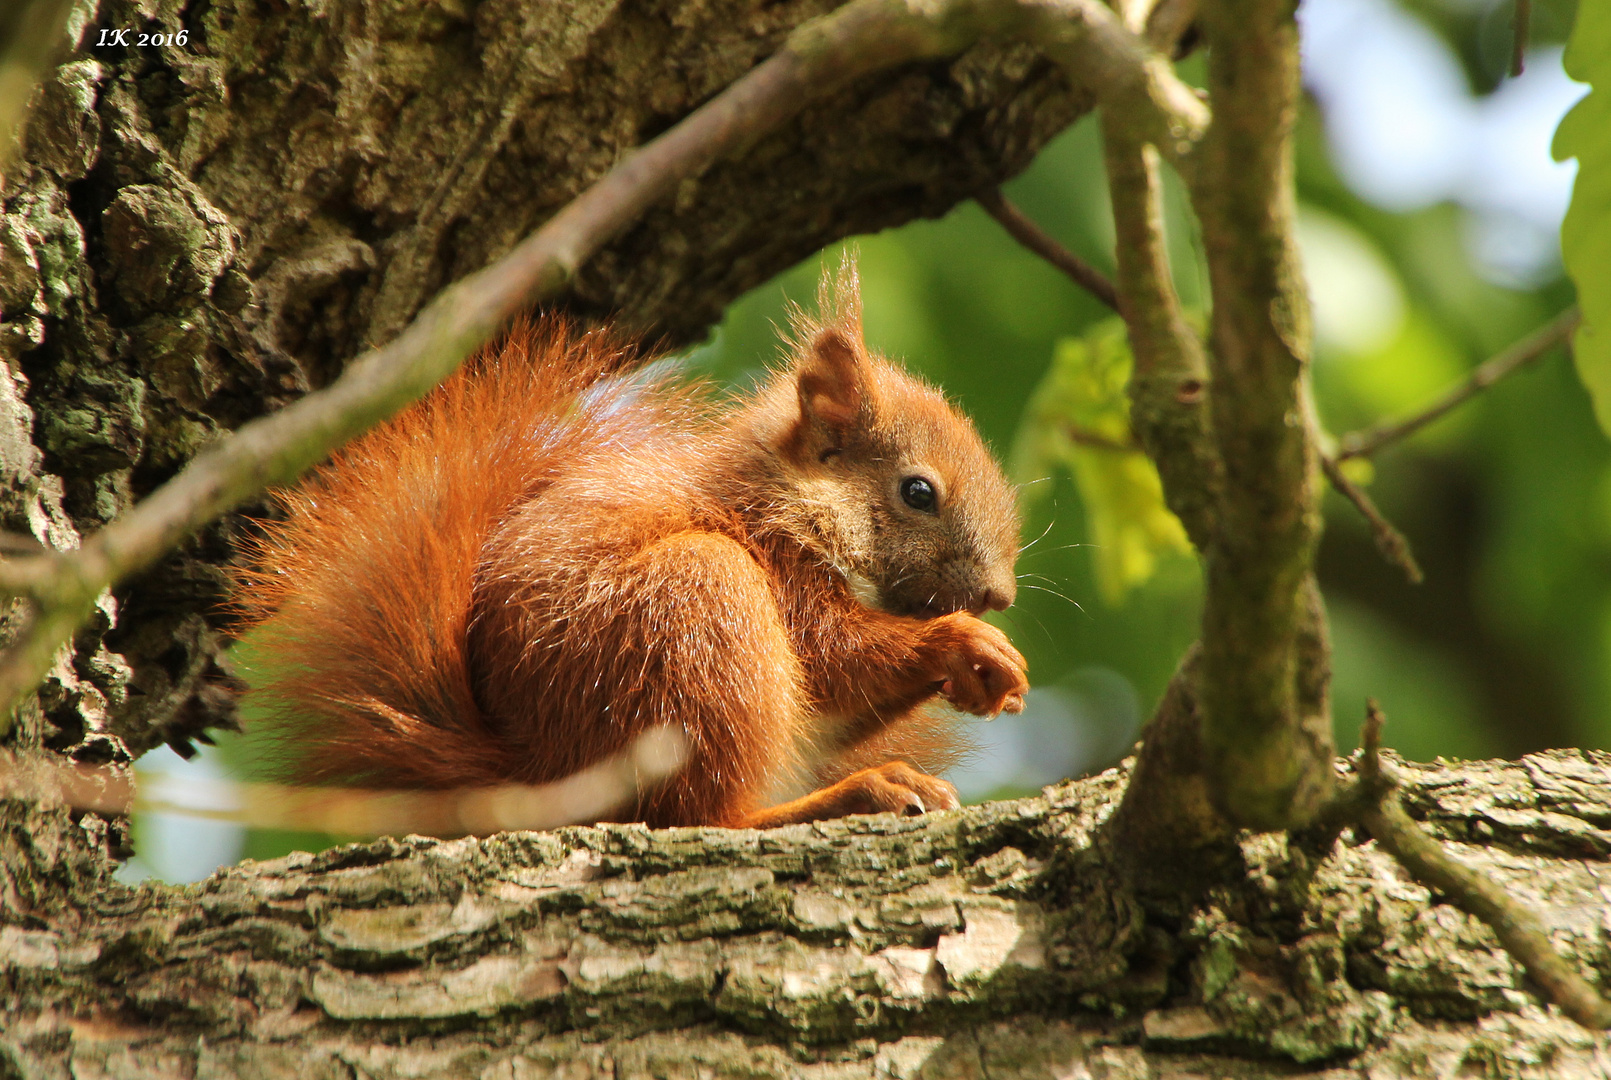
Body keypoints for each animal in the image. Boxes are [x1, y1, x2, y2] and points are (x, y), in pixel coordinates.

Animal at [233, 265, 1024, 831]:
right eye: (917, 492)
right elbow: (836, 658)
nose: (999, 595)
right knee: (704, 817)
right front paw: (961, 643)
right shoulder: (771, 553)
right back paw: (851, 795)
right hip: (693, 610)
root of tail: (542, 769)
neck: (783, 490)